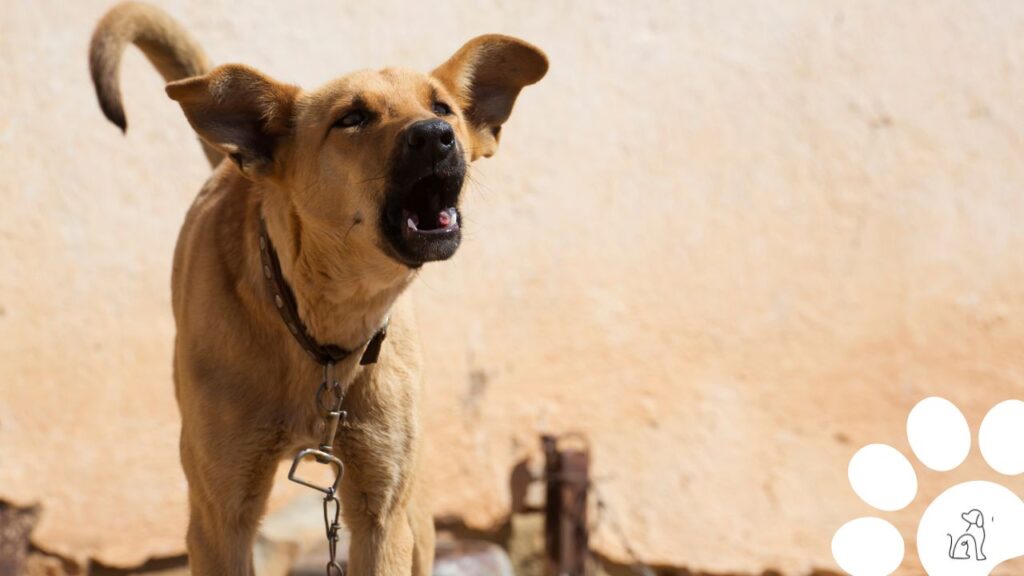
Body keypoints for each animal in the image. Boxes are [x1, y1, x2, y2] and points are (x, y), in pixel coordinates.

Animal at [90, 2, 544, 569]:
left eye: (442, 106)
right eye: (351, 118)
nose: (436, 134)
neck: (323, 328)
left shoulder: (381, 515)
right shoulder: (221, 519)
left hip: (416, 512)